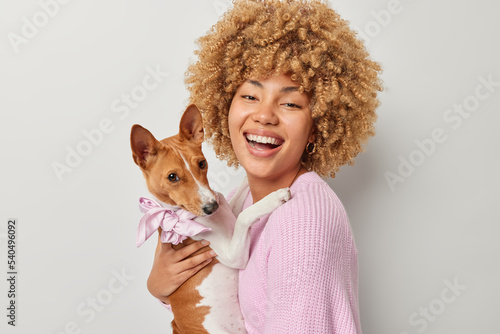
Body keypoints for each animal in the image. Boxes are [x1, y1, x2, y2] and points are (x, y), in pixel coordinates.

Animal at [131, 105, 292, 334]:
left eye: (202, 163)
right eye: (172, 177)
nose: (211, 207)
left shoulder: (227, 210)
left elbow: (240, 199)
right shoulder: (232, 255)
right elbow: (244, 216)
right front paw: (274, 197)